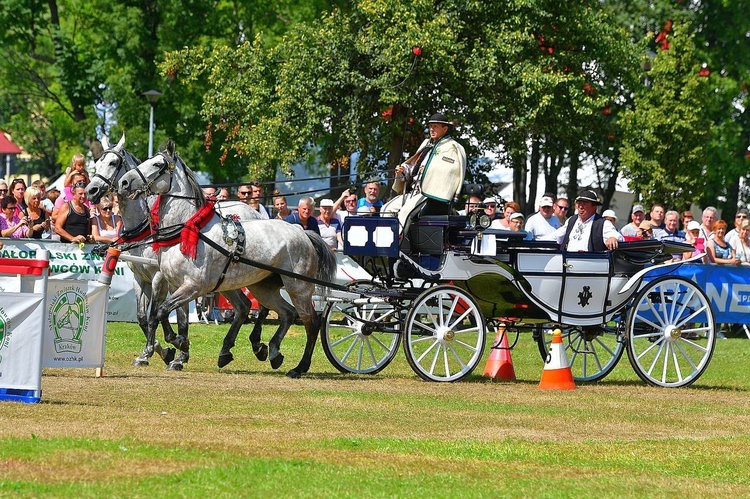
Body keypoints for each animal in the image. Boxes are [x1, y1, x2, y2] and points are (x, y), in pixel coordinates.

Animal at [118, 139, 338, 376]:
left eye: (158, 164)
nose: (123, 182)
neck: (188, 230)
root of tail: (302, 232)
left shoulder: (194, 286)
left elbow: (160, 312)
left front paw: (176, 346)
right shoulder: (174, 284)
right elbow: (164, 316)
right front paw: (175, 349)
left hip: (298, 288)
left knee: (311, 322)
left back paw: (299, 366)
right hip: (264, 288)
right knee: (286, 313)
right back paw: (271, 352)